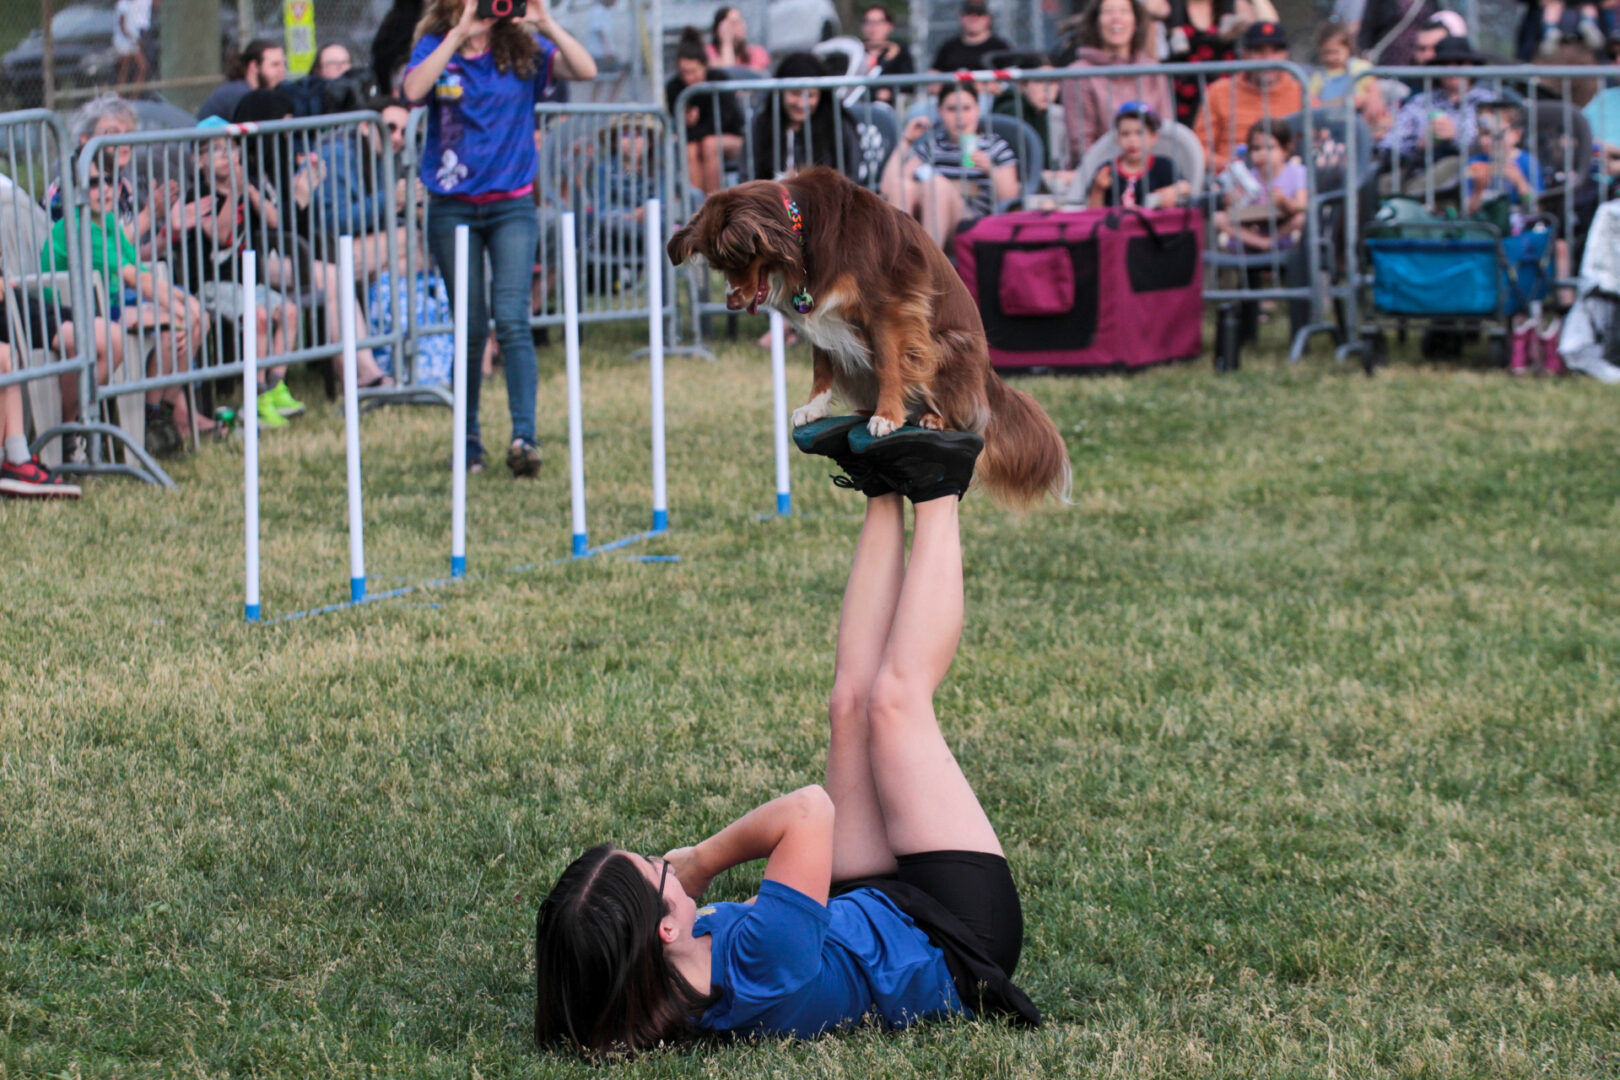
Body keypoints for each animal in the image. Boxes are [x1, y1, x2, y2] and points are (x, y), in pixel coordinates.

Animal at [670, 165, 1075, 511]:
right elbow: (822, 365)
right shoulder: (819, 310)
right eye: (717, 265)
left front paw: (887, 416)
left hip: (949, 345)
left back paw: (931, 418)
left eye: (735, 259)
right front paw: (815, 407)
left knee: (968, 418)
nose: (730, 302)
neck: (802, 228)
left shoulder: (889, 308)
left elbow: (890, 365)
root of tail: (989, 377)